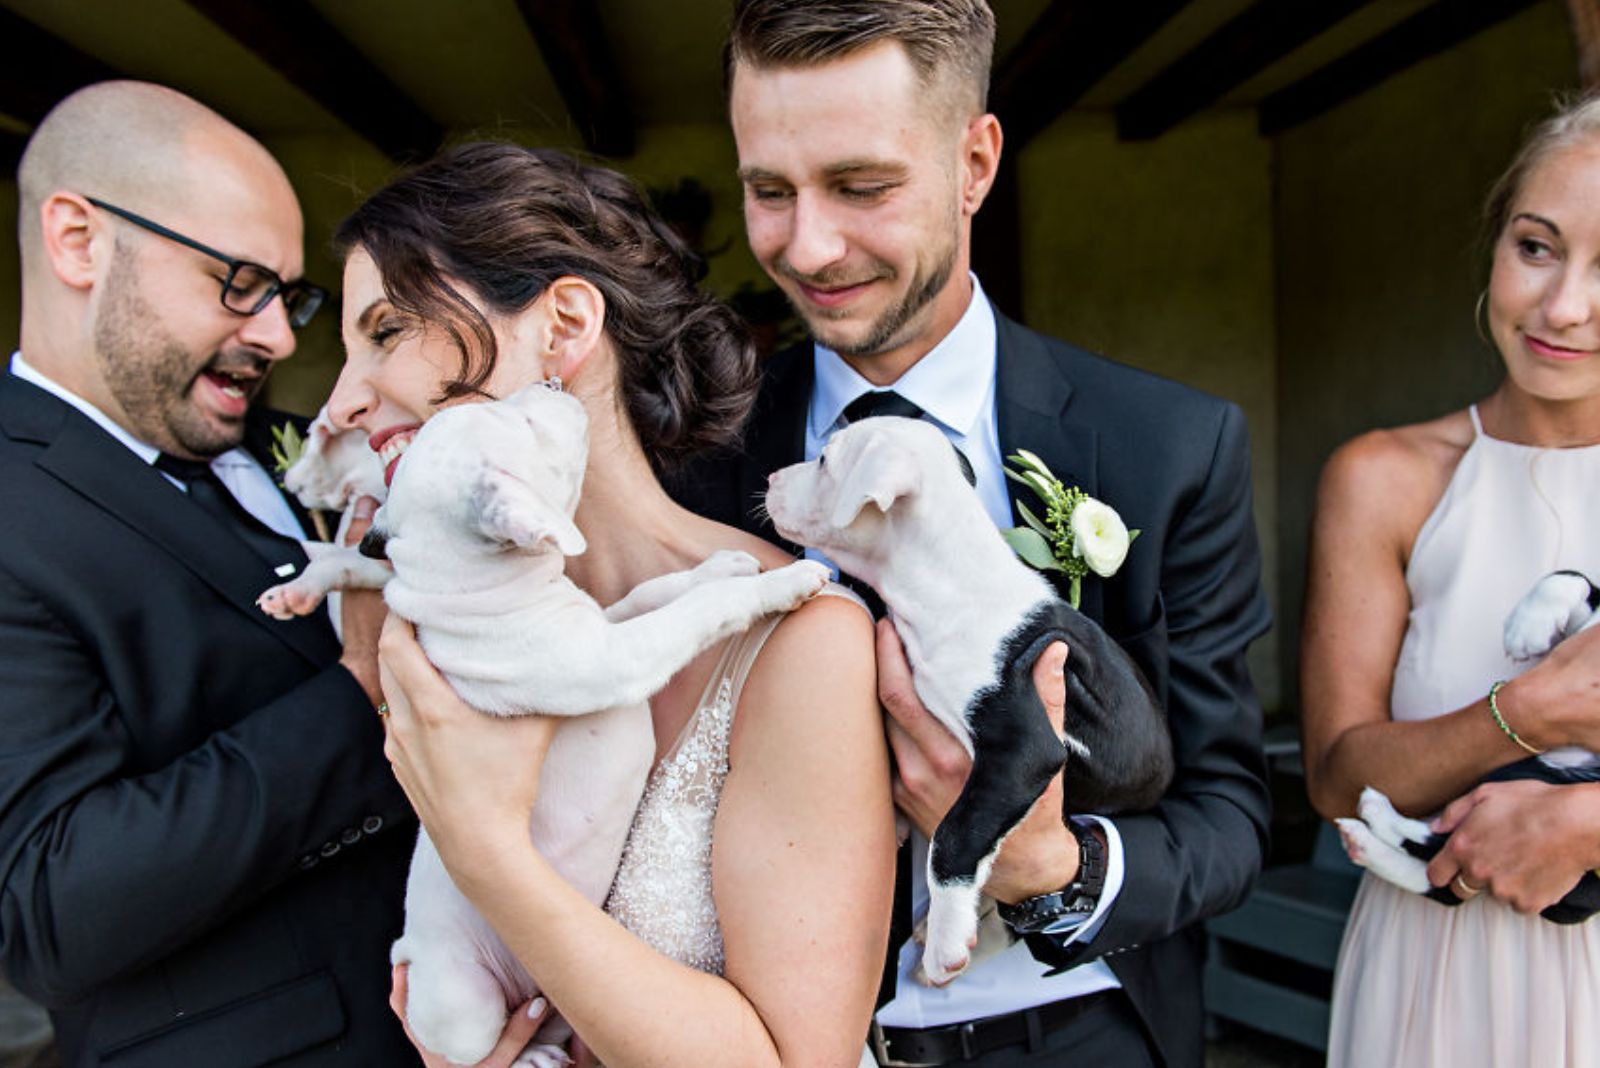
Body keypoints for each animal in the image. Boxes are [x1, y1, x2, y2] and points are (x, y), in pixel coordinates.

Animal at [361, 378, 825, 1061]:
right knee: (483, 1047)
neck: (469, 590)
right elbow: (699, 612)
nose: (549, 383)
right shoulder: (616, 659)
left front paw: (720, 566)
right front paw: (778, 584)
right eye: (525, 422)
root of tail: (407, 952)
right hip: (463, 1003)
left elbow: (648, 595)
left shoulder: (603, 626)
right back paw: (531, 1057)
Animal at [755, 415, 1171, 984]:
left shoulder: (1023, 748)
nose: (771, 477)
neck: (946, 585)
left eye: (823, 461)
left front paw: (947, 938)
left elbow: (954, 835)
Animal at [1337, 572, 1600, 920]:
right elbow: (1570, 577)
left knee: (1443, 849)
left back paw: (1379, 816)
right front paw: (1527, 626)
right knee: (1440, 877)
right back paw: (1365, 842)